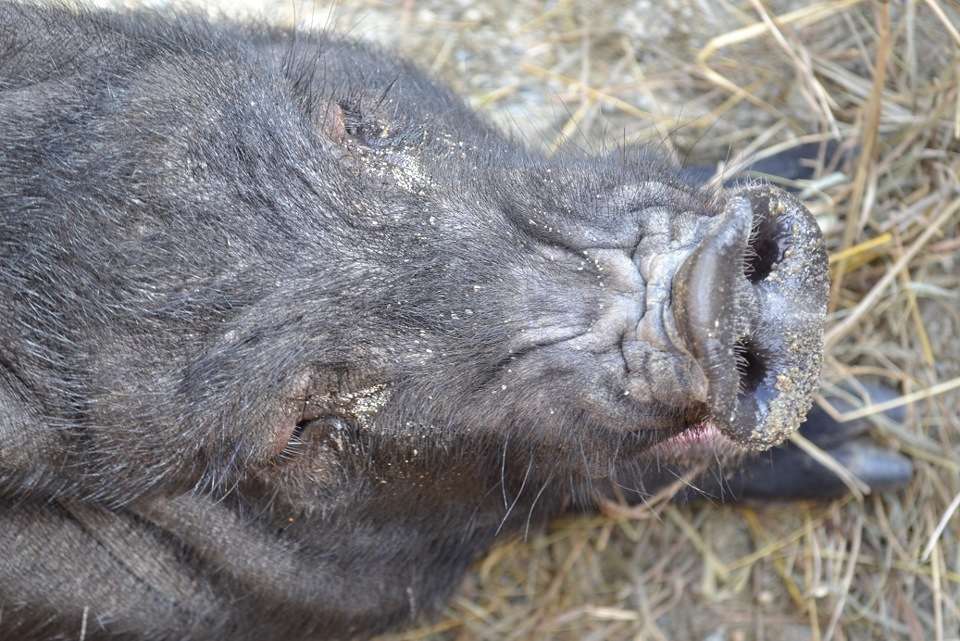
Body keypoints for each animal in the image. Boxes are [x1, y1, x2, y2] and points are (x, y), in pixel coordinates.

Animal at [0, 2, 912, 636]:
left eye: (355, 124)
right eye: (295, 432)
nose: (703, 294)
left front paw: (825, 150)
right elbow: (620, 478)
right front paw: (883, 441)